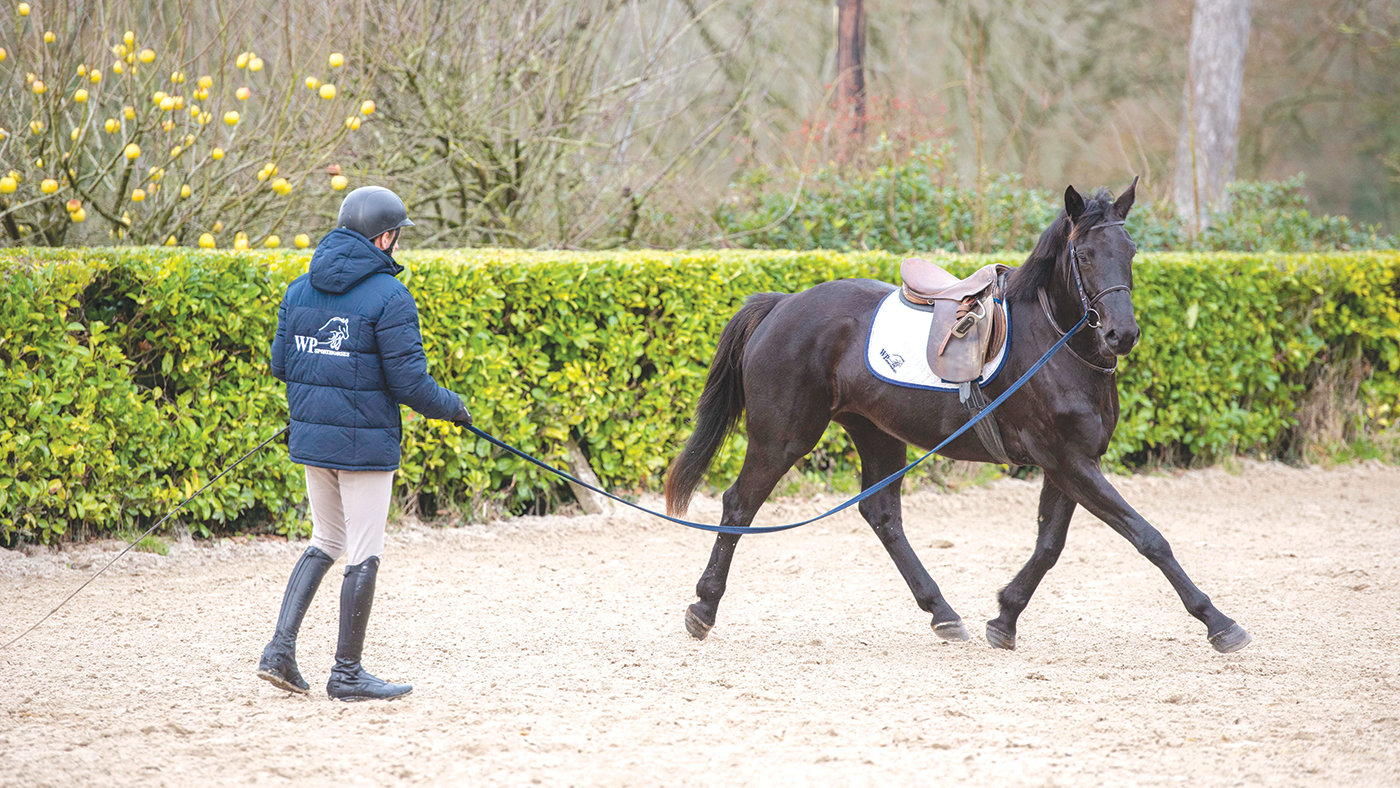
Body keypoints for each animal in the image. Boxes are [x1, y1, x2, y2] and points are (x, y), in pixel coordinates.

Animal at [660, 181, 1254, 657]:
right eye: (1083, 254)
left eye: (1129, 251)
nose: (1121, 334)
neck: (1056, 345)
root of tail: (784, 303)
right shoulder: (1067, 460)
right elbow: (1148, 538)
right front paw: (1218, 622)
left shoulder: (1070, 463)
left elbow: (1049, 546)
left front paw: (1005, 616)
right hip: (783, 437)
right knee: (739, 505)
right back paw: (703, 609)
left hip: (877, 434)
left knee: (882, 515)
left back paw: (942, 613)